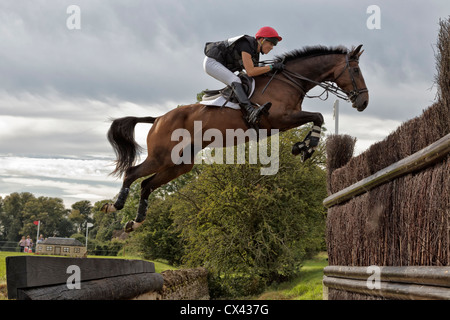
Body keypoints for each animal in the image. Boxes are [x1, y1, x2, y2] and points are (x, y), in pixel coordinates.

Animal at [102, 43, 370, 231]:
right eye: (356, 70)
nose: (364, 102)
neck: (289, 81)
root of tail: (158, 118)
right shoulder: (280, 118)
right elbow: (318, 116)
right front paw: (307, 147)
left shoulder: (283, 122)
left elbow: (317, 118)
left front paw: (302, 147)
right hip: (162, 156)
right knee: (132, 173)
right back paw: (115, 206)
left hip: (180, 163)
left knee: (147, 185)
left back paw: (135, 222)